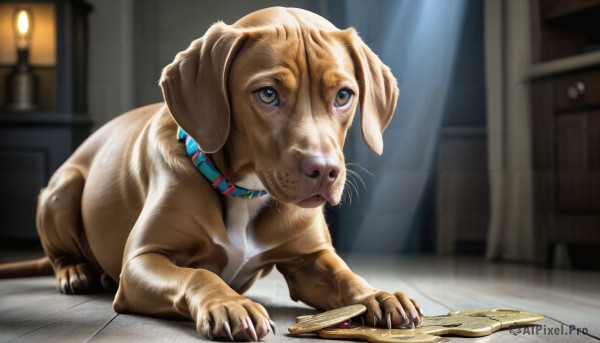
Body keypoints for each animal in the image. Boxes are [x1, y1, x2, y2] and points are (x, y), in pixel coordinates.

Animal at [0, 6, 422, 342]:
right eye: (267, 94)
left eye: (343, 96)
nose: (324, 171)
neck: (244, 191)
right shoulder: (141, 261)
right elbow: (198, 275)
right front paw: (230, 304)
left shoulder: (309, 258)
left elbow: (345, 276)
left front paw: (378, 294)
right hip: (62, 189)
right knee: (59, 252)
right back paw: (75, 271)